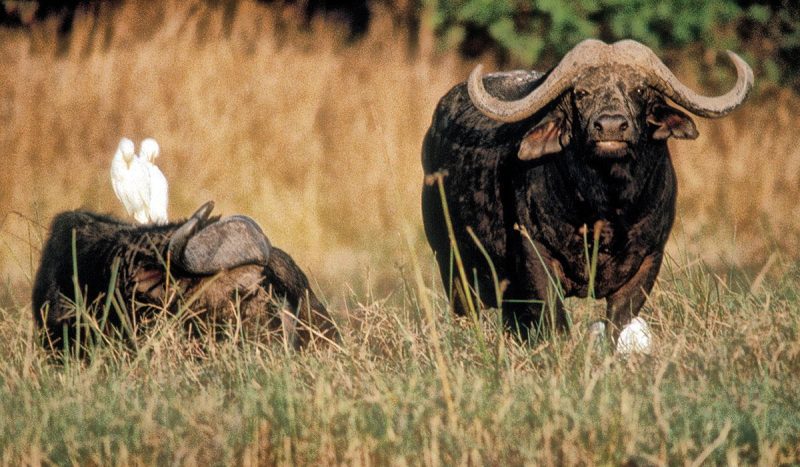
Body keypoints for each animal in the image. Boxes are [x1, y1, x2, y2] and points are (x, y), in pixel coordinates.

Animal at [422, 39, 753, 339]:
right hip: (453, 266)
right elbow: (555, 323)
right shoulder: (537, 257)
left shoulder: (648, 261)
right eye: (581, 93)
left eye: (639, 90)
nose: (610, 127)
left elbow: (617, 325)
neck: (605, 208)